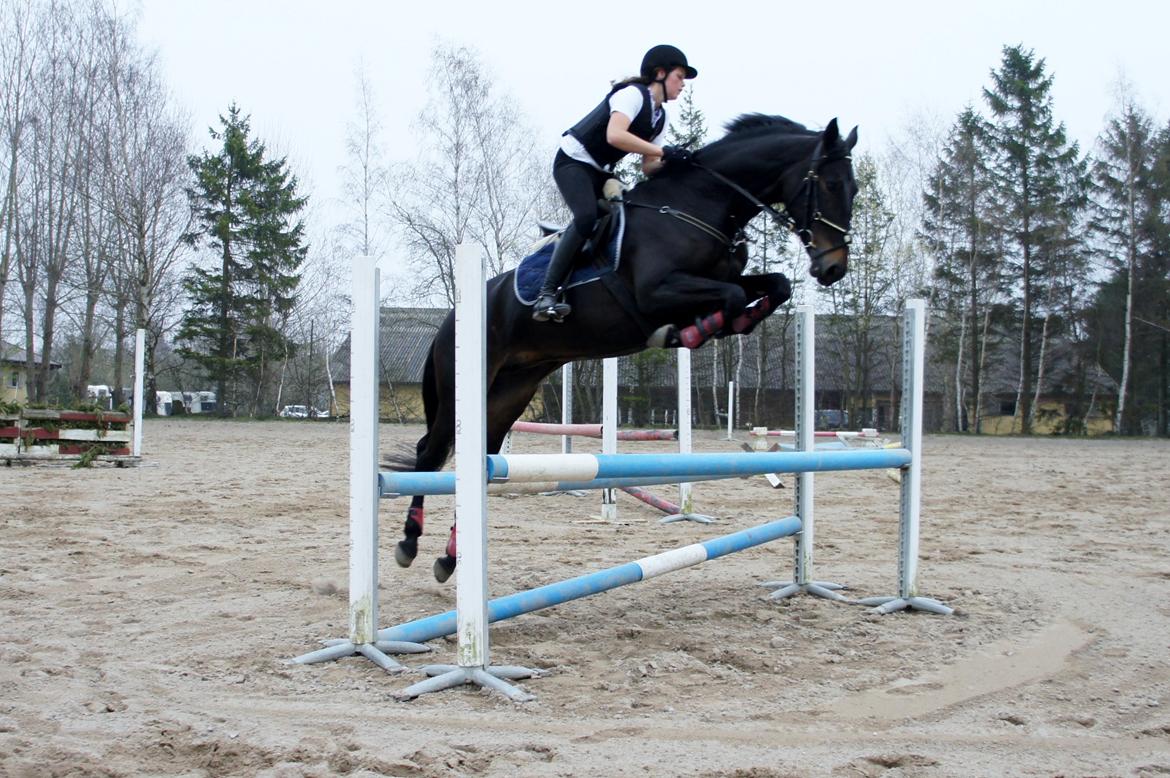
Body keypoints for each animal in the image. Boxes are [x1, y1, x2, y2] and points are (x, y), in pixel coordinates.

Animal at [393, 112, 861, 580]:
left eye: (853, 189)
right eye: (831, 184)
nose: (833, 268)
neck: (697, 205)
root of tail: (452, 314)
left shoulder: (718, 281)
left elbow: (774, 286)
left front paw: (727, 325)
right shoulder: (655, 293)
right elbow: (727, 297)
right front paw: (690, 332)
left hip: (512, 390)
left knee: (483, 456)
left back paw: (450, 555)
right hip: (465, 385)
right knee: (430, 452)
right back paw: (409, 543)